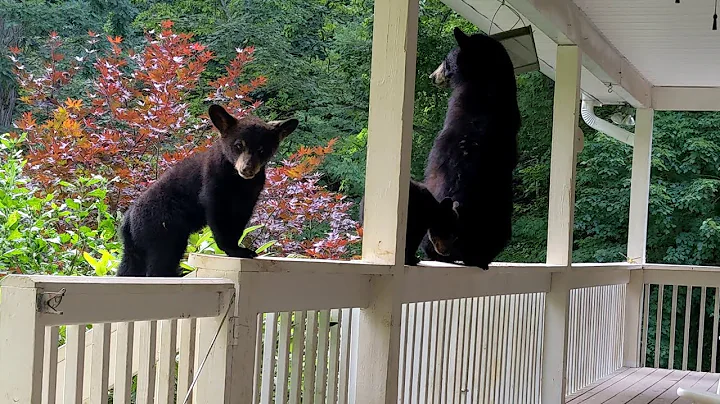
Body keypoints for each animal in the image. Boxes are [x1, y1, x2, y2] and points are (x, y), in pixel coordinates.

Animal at [118, 104, 298, 276]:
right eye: (238, 145)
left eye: (263, 150)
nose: (247, 169)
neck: (238, 181)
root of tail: (128, 219)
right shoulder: (213, 182)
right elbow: (218, 215)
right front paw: (236, 249)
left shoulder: (250, 194)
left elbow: (240, 219)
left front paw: (238, 247)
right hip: (162, 228)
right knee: (163, 258)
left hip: (135, 244)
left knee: (130, 265)